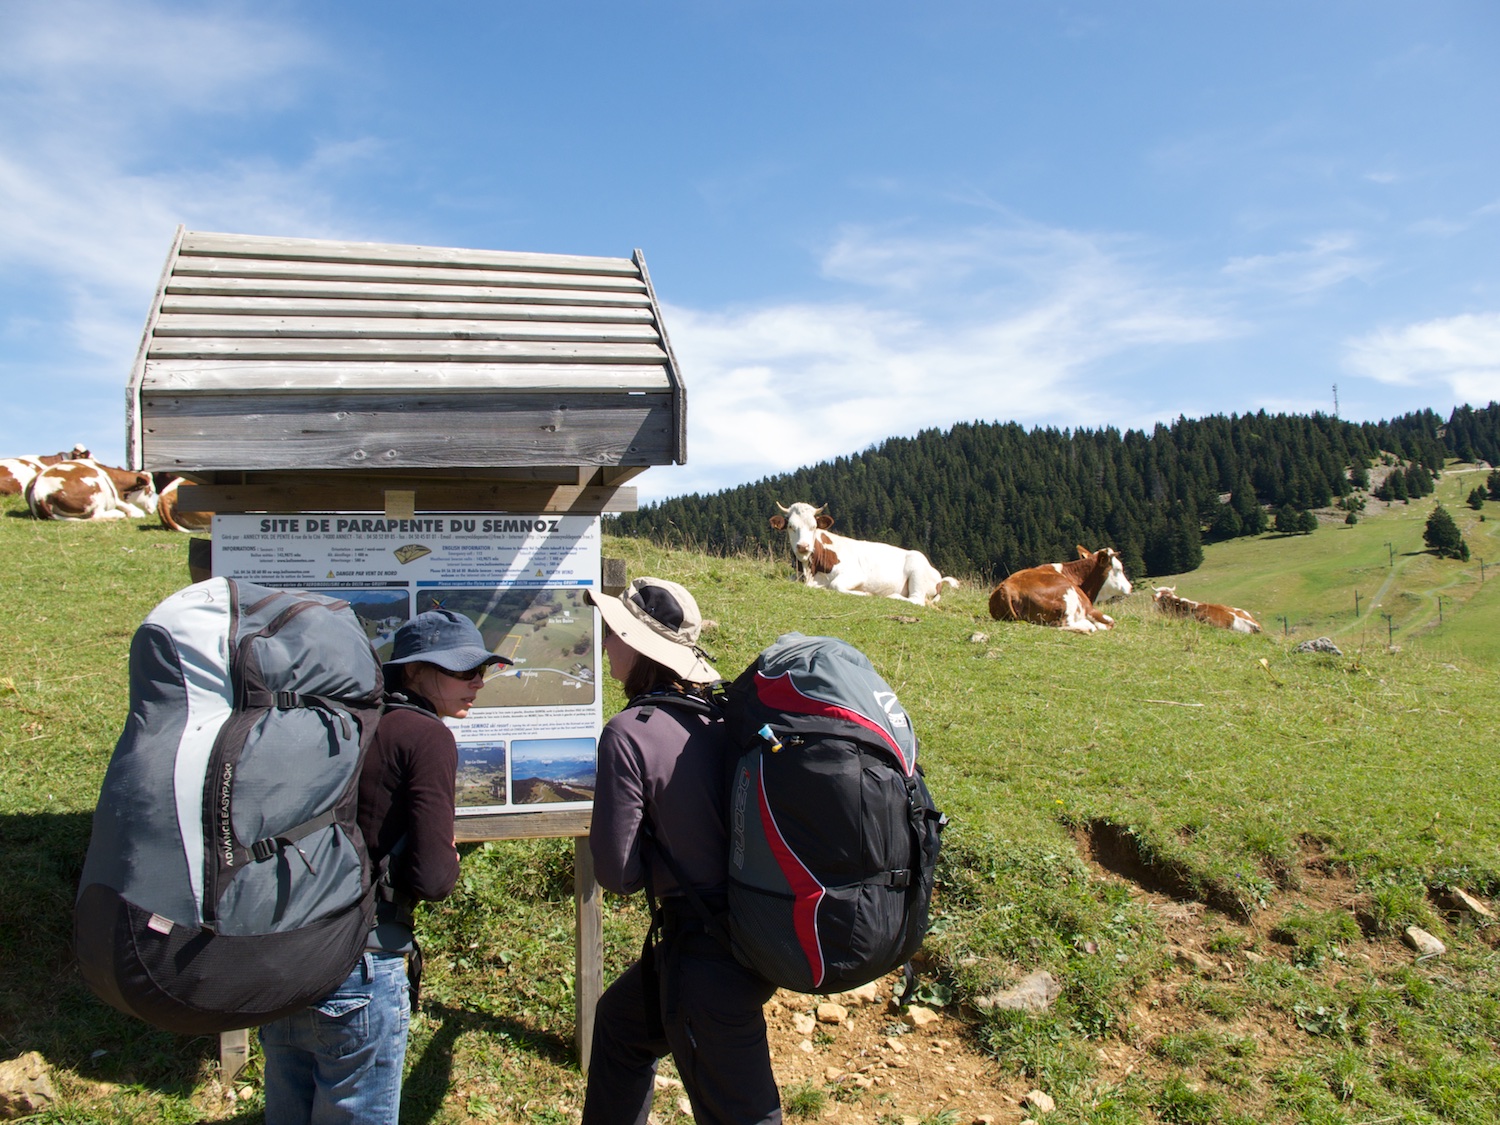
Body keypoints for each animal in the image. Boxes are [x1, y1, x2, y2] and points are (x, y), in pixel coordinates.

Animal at [26, 459, 159, 522]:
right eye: (150, 492)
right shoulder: (118, 498)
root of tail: (39, 493)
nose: (153, 509)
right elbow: (137, 513)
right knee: (97, 515)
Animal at [768, 501, 954, 609]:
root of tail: (938, 576)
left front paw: (866, 594)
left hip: (917, 571)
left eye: (814, 526)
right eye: (791, 526)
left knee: (916, 600)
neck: (810, 572)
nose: (803, 546)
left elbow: (835, 585)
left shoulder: (856, 575)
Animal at [990, 546, 1128, 636]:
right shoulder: (1088, 608)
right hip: (1068, 596)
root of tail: (1007, 588)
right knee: (1066, 624)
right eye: (1118, 569)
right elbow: (1110, 621)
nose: (1130, 586)